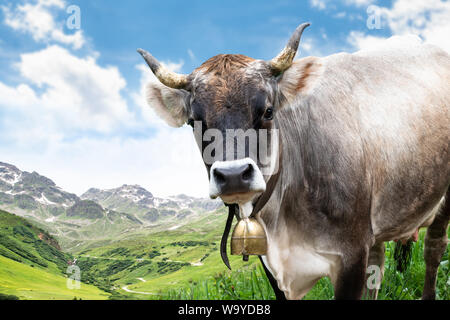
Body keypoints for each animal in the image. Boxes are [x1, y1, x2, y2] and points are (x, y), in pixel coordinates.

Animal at [138, 23, 450, 300]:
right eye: (194, 121)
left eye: (268, 111)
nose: (234, 175)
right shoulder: (271, 264)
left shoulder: (351, 255)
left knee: (433, 249)